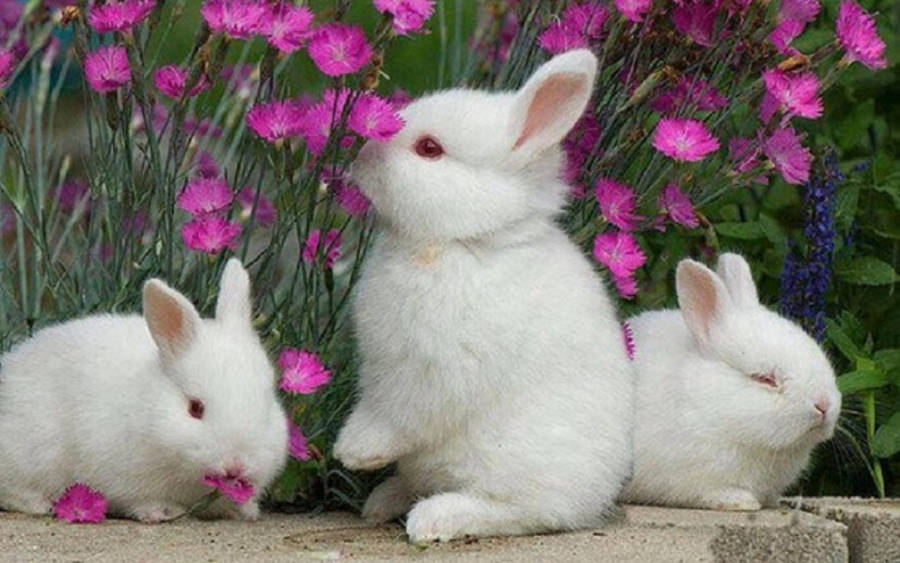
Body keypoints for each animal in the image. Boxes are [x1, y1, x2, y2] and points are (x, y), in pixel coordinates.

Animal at [0, 258, 288, 522]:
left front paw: (244, 510)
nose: (235, 465)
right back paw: (39, 503)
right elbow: (136, 500)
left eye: (266, 408)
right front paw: (161, 511)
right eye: (195, 408)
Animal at [332, 49, 634, 543]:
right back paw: (384, 501)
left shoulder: (431, 371)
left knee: (520, 512)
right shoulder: (382, 365)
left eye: (430, 149)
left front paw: (355, 451)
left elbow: (398, 414)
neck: (465, 242)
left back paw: (434, 518)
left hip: (515, 466)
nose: (359, 157)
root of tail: (597, 496)